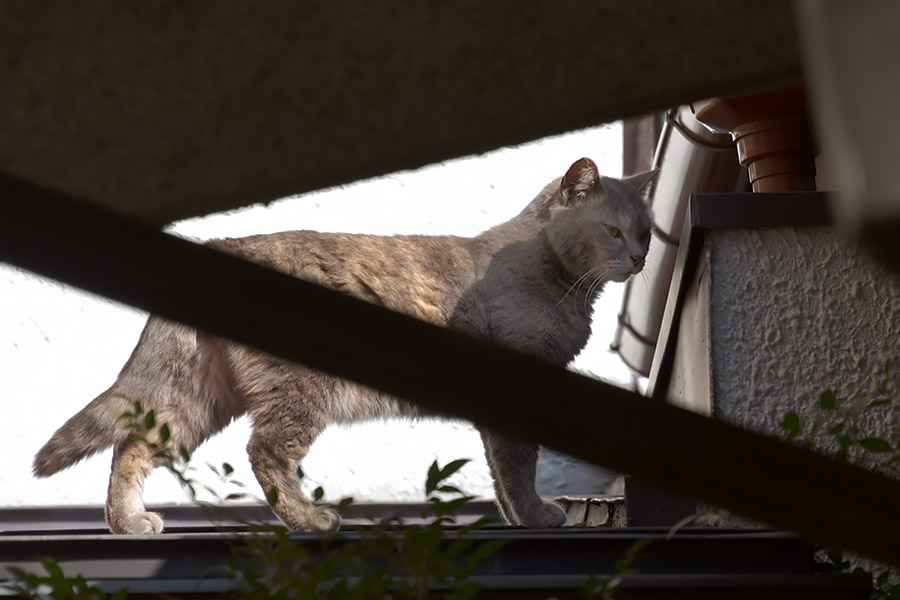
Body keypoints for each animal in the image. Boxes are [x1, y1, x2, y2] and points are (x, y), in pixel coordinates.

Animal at [35, 157, 652, 532]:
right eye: (612, 231)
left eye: (646, 231)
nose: (640, 257)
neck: (557, 274)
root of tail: (219, 243)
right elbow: (520, 467)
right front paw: (536, 514)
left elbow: (501, 473)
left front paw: (516, 517)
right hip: (297, 392)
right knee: (264, 454)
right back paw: (310, 521)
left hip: (199, 396)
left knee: (133, 446)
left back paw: (128, 523)